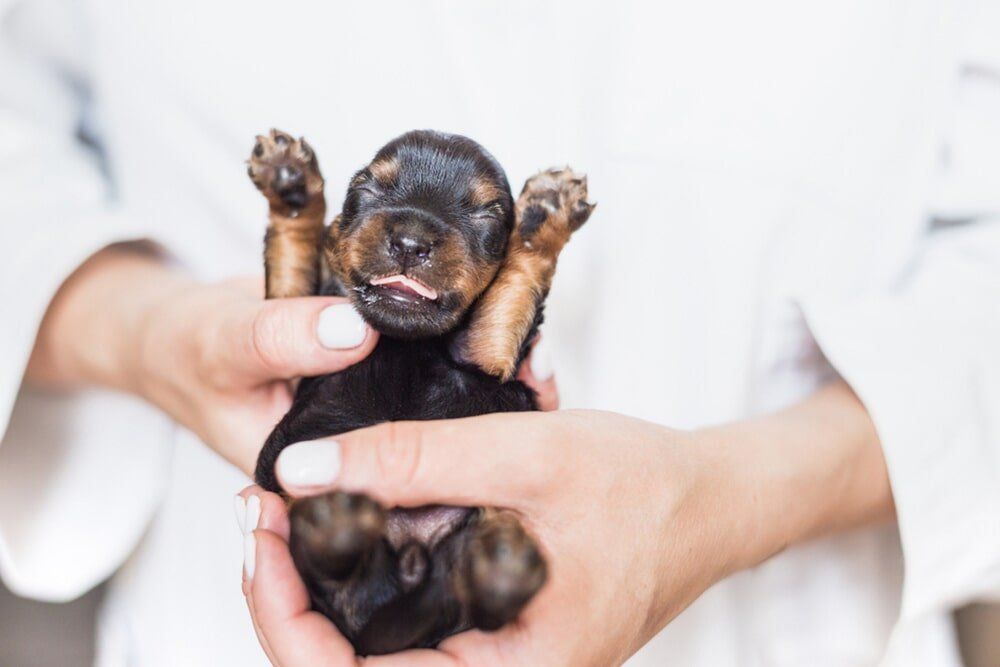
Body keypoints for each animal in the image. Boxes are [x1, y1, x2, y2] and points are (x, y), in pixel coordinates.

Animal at [248, 128, 592, 656]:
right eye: (366, 188)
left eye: (487, 214)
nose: (410, 243)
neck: (404, 339)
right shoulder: (302, 322)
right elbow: (292, 270)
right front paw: (291, 185)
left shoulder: (487, 355)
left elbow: (512, 288)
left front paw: (546, 212)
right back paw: (337, 524)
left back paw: (499, 568)